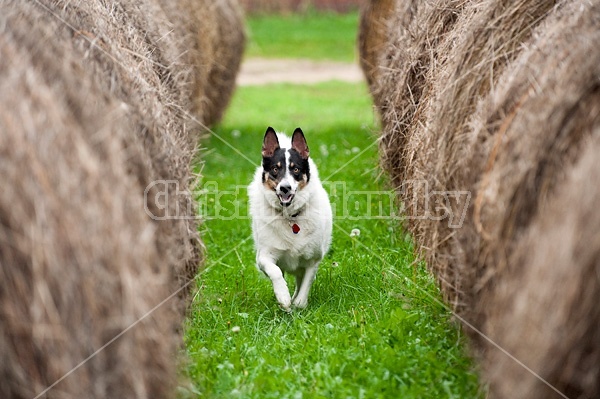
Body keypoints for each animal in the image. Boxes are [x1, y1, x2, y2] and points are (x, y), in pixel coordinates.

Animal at [248, 126, 332, 310]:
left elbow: (305, 285)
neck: (290, 217)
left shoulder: (313, 260)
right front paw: (283, 297)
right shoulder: (263, 257)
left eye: (295, 169)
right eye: (275, 169)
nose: (285, 188)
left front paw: (299, 303)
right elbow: (276, 272)